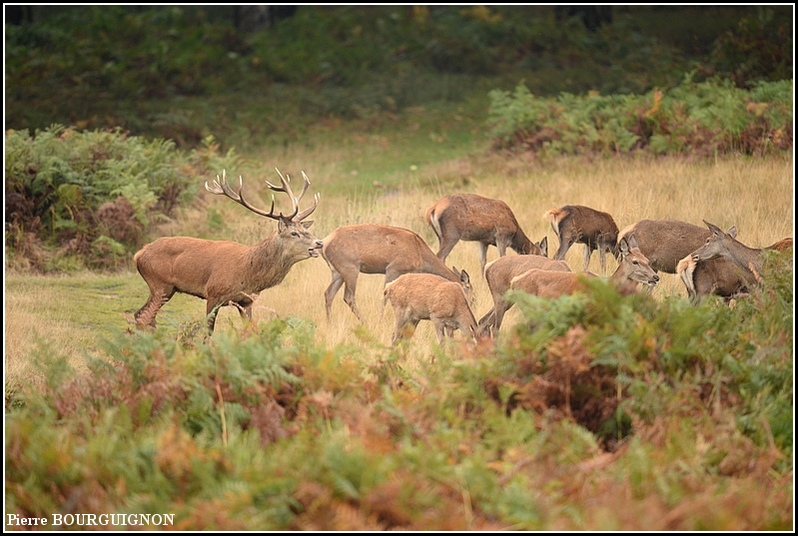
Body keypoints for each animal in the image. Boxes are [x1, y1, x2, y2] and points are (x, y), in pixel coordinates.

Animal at [136, 168, 324, 336]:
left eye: (305, 229)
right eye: (294, 233)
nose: (319, 243)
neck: (248, 274)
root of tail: (138, 254)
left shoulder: (247, 301)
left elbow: (252, 330)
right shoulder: (213, 293)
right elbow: (208, 331)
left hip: (166, 288)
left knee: (142, 315)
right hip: (160, 284)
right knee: (143, 315)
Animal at [320, 223, 472, 322]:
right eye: (470, 292)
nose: (471, 308)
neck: (420, 253)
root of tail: (324, 243)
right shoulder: (393, 269)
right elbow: (384, 295)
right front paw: (380, 320)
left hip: (337, 273)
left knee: (329, 293)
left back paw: (329, 323)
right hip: (350, 269)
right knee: (348, 296)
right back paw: (364, 321)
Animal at [424, 194, 552, 276]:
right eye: (544, 255)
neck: (514, 232)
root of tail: (433, 209)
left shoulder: (483, 240)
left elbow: (482, 262)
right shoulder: (502, 236)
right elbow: (502, 257)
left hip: (440, 236)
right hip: (452, 234)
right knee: (440, 256)